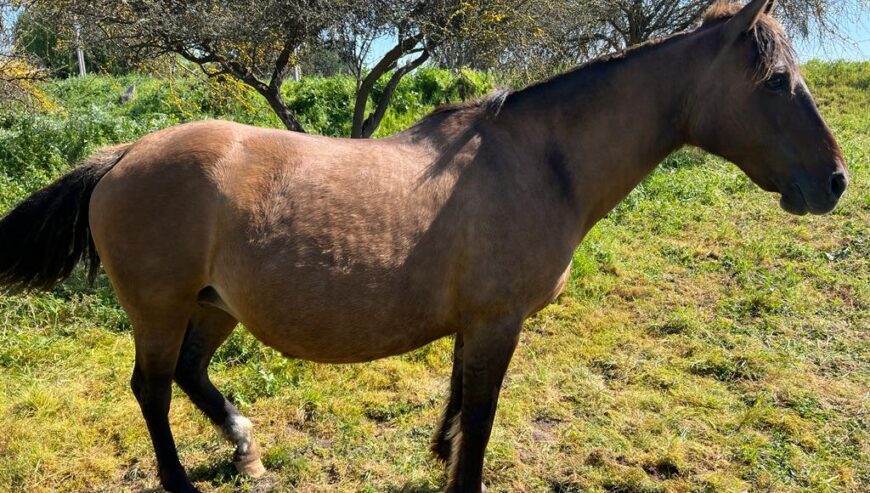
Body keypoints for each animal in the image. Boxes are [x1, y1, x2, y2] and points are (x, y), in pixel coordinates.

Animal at [0, 0, 848, 492]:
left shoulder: (477, 322)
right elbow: (481, 417)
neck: (542, 161)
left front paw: (437, 453)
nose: (835, 181)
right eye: (777, 82)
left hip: (212, 306)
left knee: (188, 374)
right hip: (161, 307)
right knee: (150, 389)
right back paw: (184, 479)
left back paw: (245, 447)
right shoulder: (499, 321)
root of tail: (120, 157)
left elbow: (457, 401)